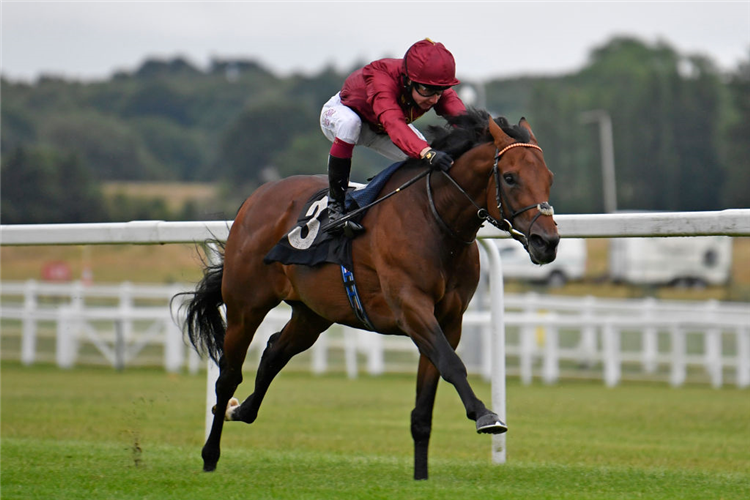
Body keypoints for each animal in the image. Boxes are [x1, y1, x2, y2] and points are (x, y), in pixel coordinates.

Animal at [181, 106, 560, 480]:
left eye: (549, 177)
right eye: (509, 177)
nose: (547, 242)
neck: (435, 220)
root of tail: (256, 198)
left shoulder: (449, 320)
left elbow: (427, 399)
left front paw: (421, 476)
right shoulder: (411, 308)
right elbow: (453, 365)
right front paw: (485, 415)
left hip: (312, 314)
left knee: (274, 352)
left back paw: (240, 410)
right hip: (246, 305)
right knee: (228, 376)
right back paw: (210, 454)